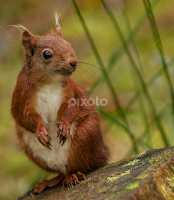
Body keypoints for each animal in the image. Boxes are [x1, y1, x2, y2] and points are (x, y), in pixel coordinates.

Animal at [10, 14, 109, 194]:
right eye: (47, 54)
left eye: (70, 45)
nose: (74, 62)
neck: (49, 82)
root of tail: (102, 152)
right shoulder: (21, 95)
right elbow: (23, 115)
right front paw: (40, 130)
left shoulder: (70, 92)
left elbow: (71, 109)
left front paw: (63, 124)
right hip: (32, 149)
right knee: (61, 172)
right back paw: (49, 181)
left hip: (84, 135)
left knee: (78, 166)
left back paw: (72, 176)